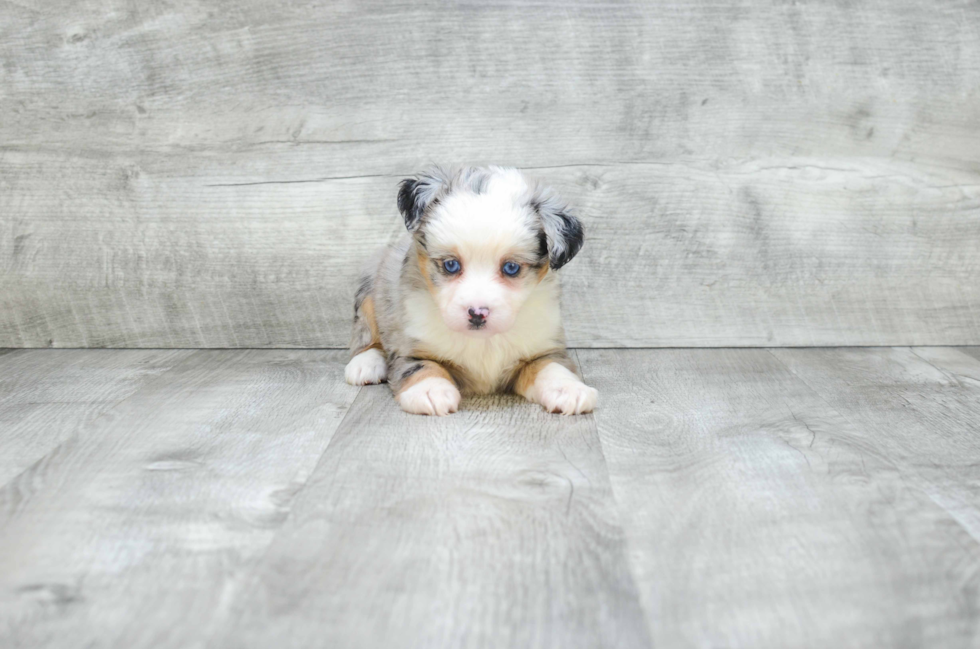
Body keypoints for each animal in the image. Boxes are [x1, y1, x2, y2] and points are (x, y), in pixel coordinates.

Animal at [344, 163, 596, 416]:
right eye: (451, 265)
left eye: (511, 267)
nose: (477, 313)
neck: (484, 340)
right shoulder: (409, 346)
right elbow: (421, 366)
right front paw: (430, 390)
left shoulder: (543, 347)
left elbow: (552, 367)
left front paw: (570, 390)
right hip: (370, 287)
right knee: (365, 334)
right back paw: (366, 364)